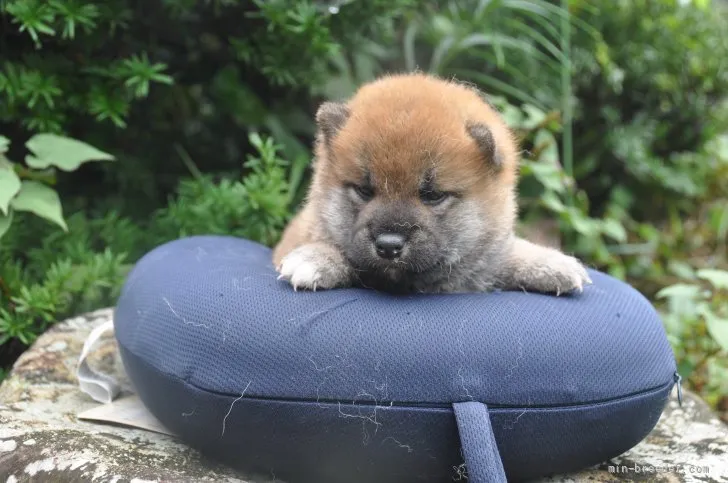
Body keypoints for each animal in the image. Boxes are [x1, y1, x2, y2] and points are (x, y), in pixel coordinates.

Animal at [272, 72, 592, 294]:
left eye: (433, 195)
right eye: (364, 190)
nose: (388, 246)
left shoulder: (485, 263)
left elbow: (513, 253)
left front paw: (552, 264)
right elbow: (341, 253)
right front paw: (318, 258)